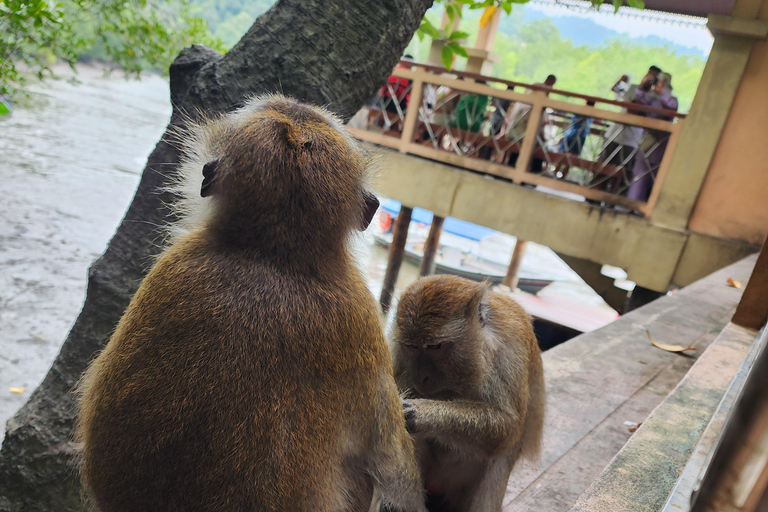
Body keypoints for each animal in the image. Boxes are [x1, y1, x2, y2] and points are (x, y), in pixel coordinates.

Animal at [390, 276, 544, 512]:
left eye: (434, 346)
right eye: (411, 347)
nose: (421, 376)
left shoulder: (509, 353)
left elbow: (508, 429)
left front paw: (419, 412)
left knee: (502, 456)